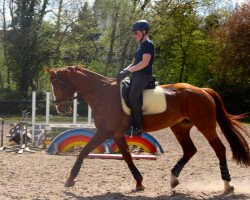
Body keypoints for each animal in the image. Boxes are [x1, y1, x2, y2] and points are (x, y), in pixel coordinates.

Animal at [46, 66, 248, 193]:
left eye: (58, 83)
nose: (61, 109)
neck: (102, 93)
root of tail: (203, 90)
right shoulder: (114, 133)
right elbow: (124, 156)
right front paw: (139, 182)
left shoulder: (106, 131)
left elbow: (87, 151)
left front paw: (70, 179)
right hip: (180, 127)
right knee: (190, 150)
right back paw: (173, 179)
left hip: (205, 125)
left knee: (219, 148)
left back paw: (227, 185)